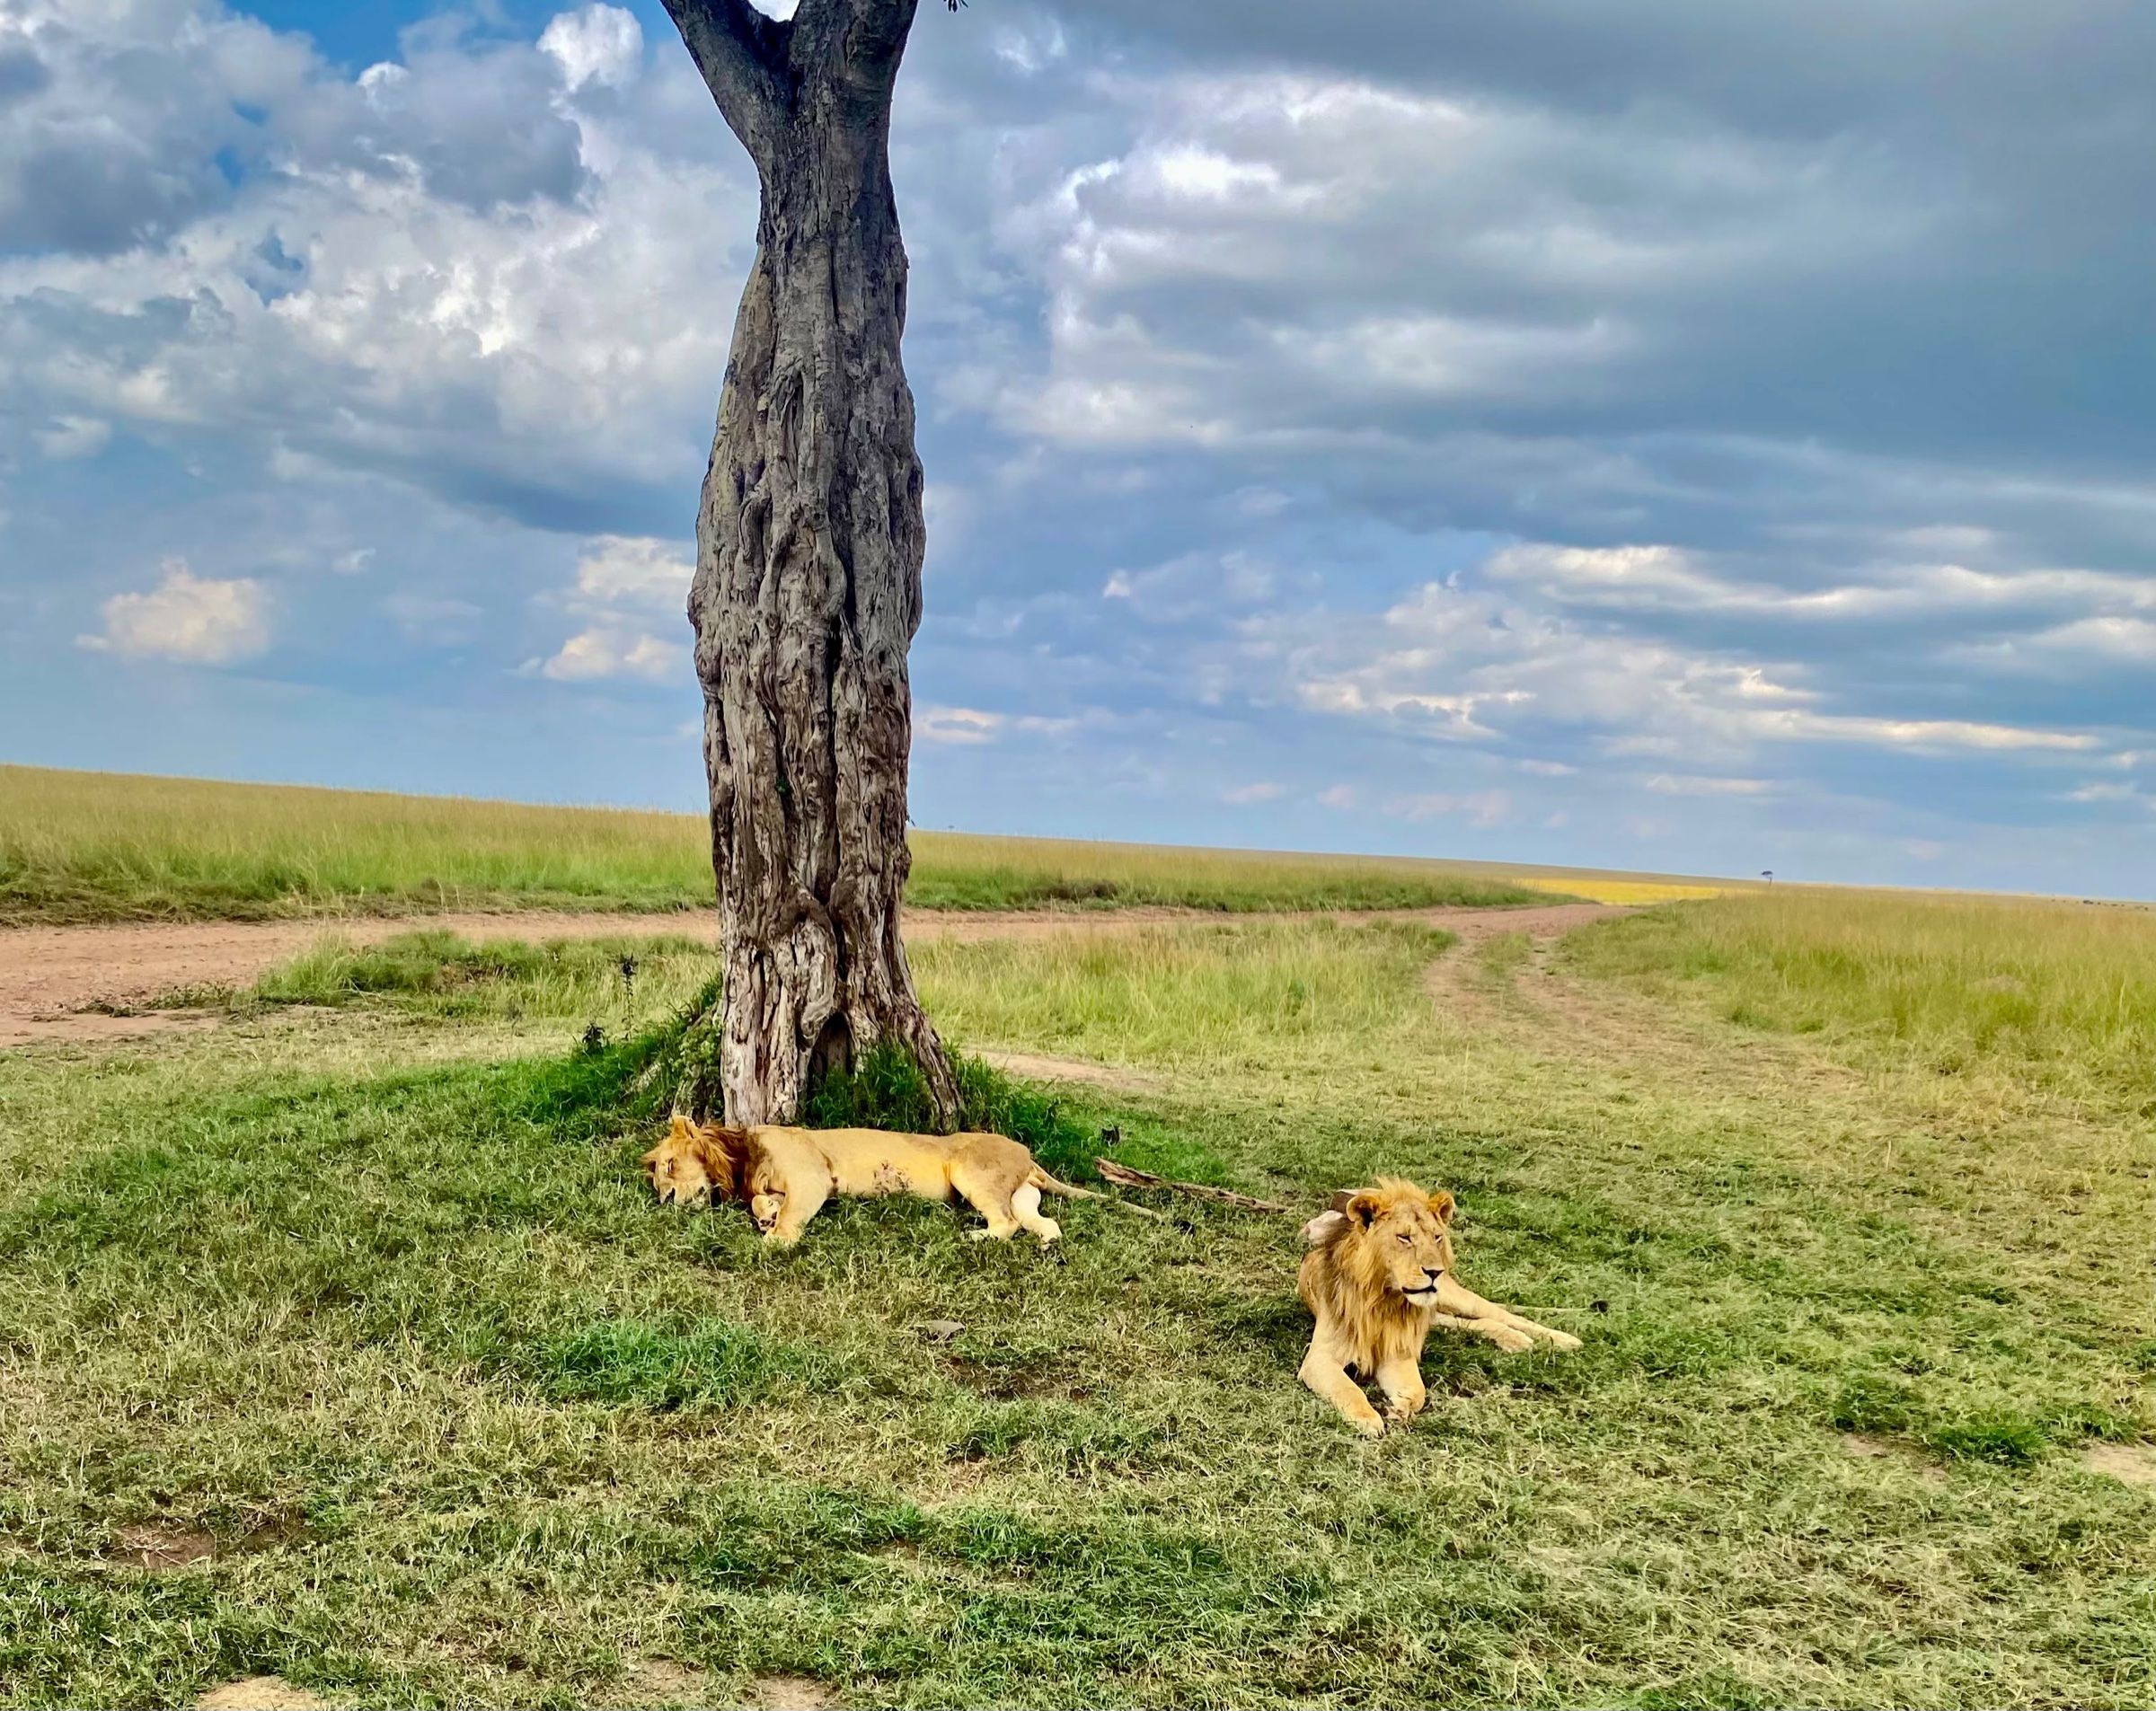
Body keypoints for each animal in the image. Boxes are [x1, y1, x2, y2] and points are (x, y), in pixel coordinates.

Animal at [641, 1115, 1150, 1247]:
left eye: (667, 1167)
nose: (663, 1201)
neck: (740, 1153)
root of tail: (1028, 1155)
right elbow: (759, 1202)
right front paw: (765, 1214)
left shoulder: (812, 1177)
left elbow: (788, 1213)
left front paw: (774, 1237)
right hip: (1025, 1195)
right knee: (1043, 1224)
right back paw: (1045, 1244)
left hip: (970, 1171)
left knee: (1004, 1223)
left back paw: (975, 1237)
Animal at [1298, 1178, 1581, 1437]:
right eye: (1404, 1237)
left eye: (1437, 1237)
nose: (1435, 1272)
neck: (1385, 1299)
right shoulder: (1319, 1358)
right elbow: (1347, 1388)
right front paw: (1368, 1419)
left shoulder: (1398, 1353)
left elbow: (1419, 1391)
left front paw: (1401, 1407)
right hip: (1437, 1316)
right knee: (1478, 1323)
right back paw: (1515, 1340)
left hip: (1453, 1298)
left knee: (1501, 1313)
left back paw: (1564, 1340)